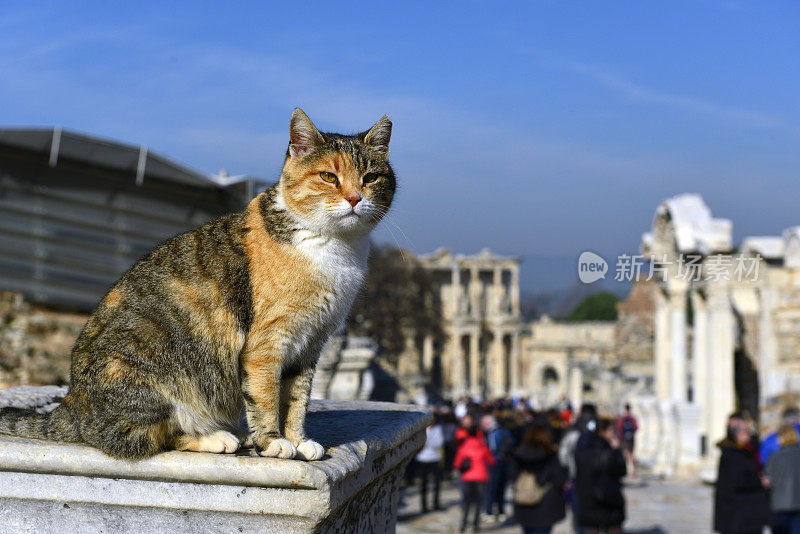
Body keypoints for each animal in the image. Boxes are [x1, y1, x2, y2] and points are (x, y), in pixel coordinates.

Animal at [0, 109, 394, 460]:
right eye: (328, 176)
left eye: (371, 177)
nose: (355, 198)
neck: (335, 249)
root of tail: (72, 407)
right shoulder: (268, 342)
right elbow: (266, 397)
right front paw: (274, 443)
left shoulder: (311, 344)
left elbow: (297, 399)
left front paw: (298, 440)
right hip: (149, 374)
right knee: (147, 438)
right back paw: (219, 438)